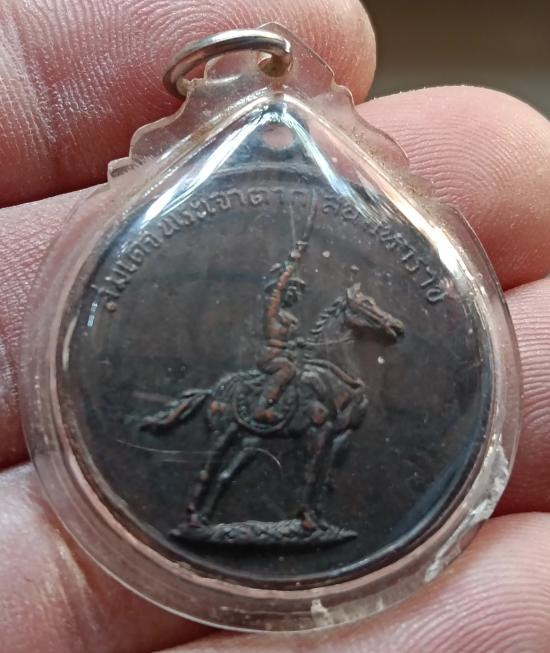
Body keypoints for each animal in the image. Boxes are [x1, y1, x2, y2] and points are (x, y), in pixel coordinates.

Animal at [142, 282, 404, 532]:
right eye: (366, 303)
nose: (398, 326)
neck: (334, 373)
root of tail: (215, 388)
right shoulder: (318, 431)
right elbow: (310, 474)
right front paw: (307, 519)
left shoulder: (342, 435)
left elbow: (327, 477)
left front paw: (321, 521)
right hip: (223, 433)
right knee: (207, 470)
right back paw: (193, 518)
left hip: (251, 441)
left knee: (225, 476)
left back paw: (207, 520)